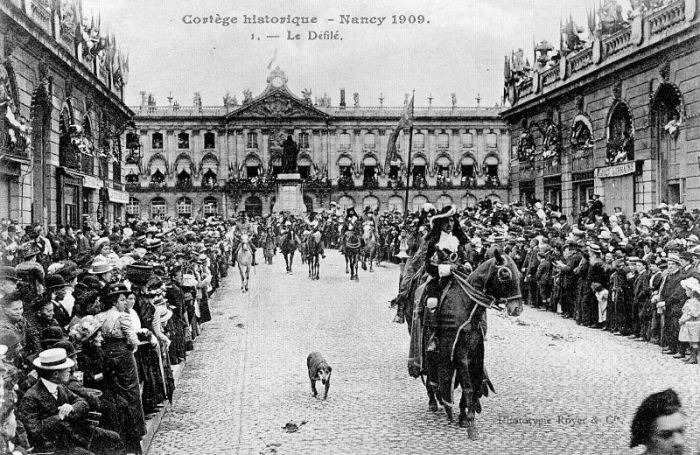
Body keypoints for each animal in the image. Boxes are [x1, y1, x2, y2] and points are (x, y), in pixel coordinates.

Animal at [404, 251, 520, 440]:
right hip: (425, 349)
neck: (468, 307)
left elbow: (473, 384)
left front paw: (463, 416)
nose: (516, 308)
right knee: (428, 372)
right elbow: (468, 388)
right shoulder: (459, 354)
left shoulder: (476, 353)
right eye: (504, 274)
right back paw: (433, 401)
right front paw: (471, 424)